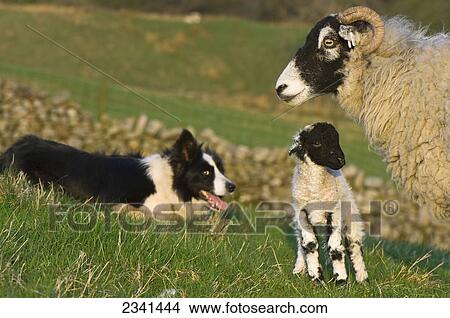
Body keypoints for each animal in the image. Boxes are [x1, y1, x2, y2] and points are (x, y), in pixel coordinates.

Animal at [290, 121, 368, 284]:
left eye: (337, 141)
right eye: (317, 142)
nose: (341, 160)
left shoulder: (335, 214)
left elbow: (335, 248)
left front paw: (341, 280)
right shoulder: (302, 214)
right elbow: (309, 245)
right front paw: (317, 278)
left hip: (350, 218)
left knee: (355, 246)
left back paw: (363, 279)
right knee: (300, 244)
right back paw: (299, 269)